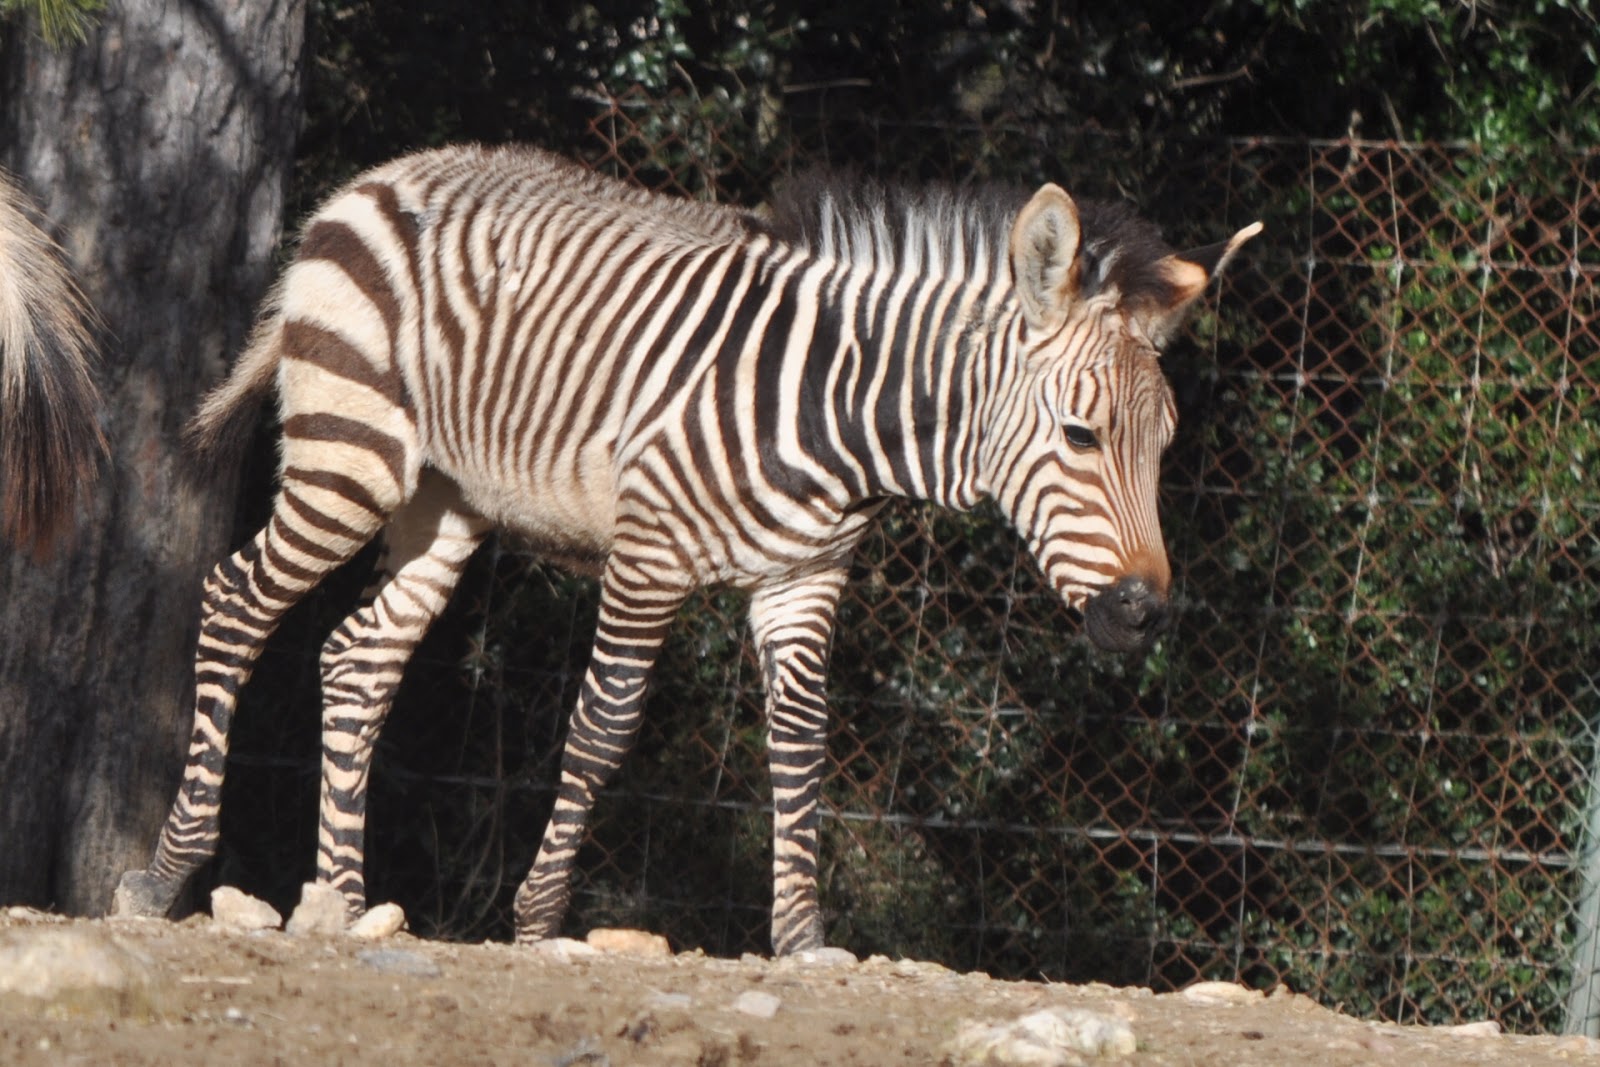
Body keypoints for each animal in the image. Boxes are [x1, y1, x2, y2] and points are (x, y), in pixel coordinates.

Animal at [112, 143, 1260, 955]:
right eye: (1080, 435)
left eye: (1164, 446)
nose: (1141, 613)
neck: (838, 411)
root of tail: (371, 181)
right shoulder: (648, 552)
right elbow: (603, 727)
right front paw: (539, 917)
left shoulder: (805, 578)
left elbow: (800, 745)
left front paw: (801, 938)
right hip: (347, 458)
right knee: (233, 602)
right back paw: (166, 871)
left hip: (445, 503)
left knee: (358, 658)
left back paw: (342, 900)